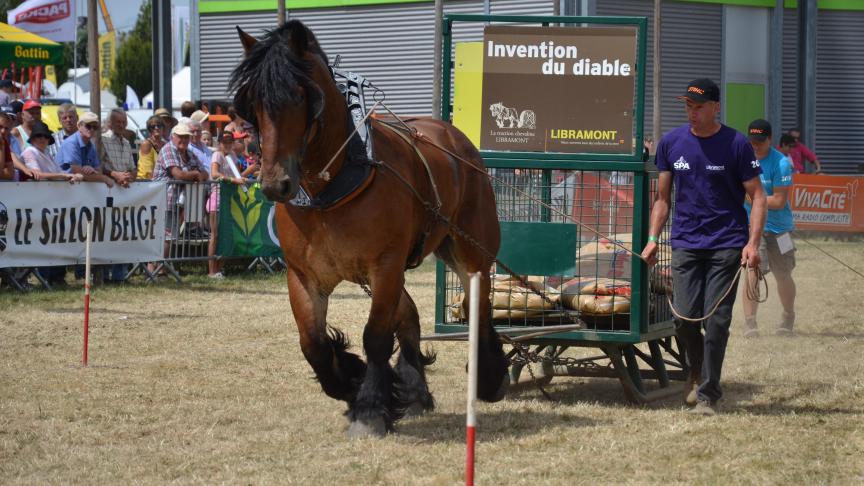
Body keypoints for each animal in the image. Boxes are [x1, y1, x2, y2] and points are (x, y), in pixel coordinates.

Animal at [233, 19, 510, 436]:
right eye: (253, 104)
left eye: (299, 96)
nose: (274, 185)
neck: (330, 189)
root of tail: (456, 139)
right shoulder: (304, 276)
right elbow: (313, 344)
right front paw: (351, 382)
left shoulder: (385, 266)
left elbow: (376, 336)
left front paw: (370, 409)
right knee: (409, 317)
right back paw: (414, 391)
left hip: (469, 251)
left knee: (478, 308)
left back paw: (488, 377)